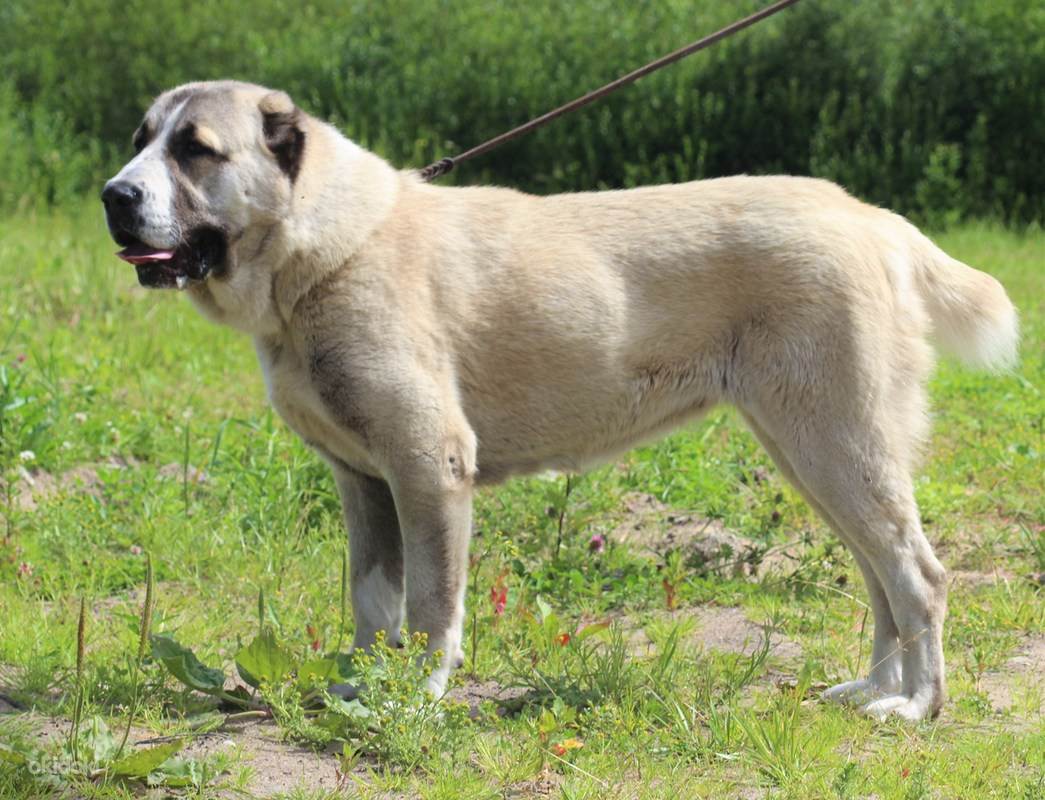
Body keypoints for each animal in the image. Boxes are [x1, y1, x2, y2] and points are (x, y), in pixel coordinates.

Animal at [101, 79, 1015, 718]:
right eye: (140, 141)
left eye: (196, 149)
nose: (114, 195)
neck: (321, 250)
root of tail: (870, 217)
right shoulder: (363, 483)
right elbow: (370, 600)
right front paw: (359, 689)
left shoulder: (428, 469)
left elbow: (430, 604)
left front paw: (417, 697)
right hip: (814, 455)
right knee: (882, 581)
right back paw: (870, 691)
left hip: (837, 446)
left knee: (919, 577)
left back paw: (914, 707)